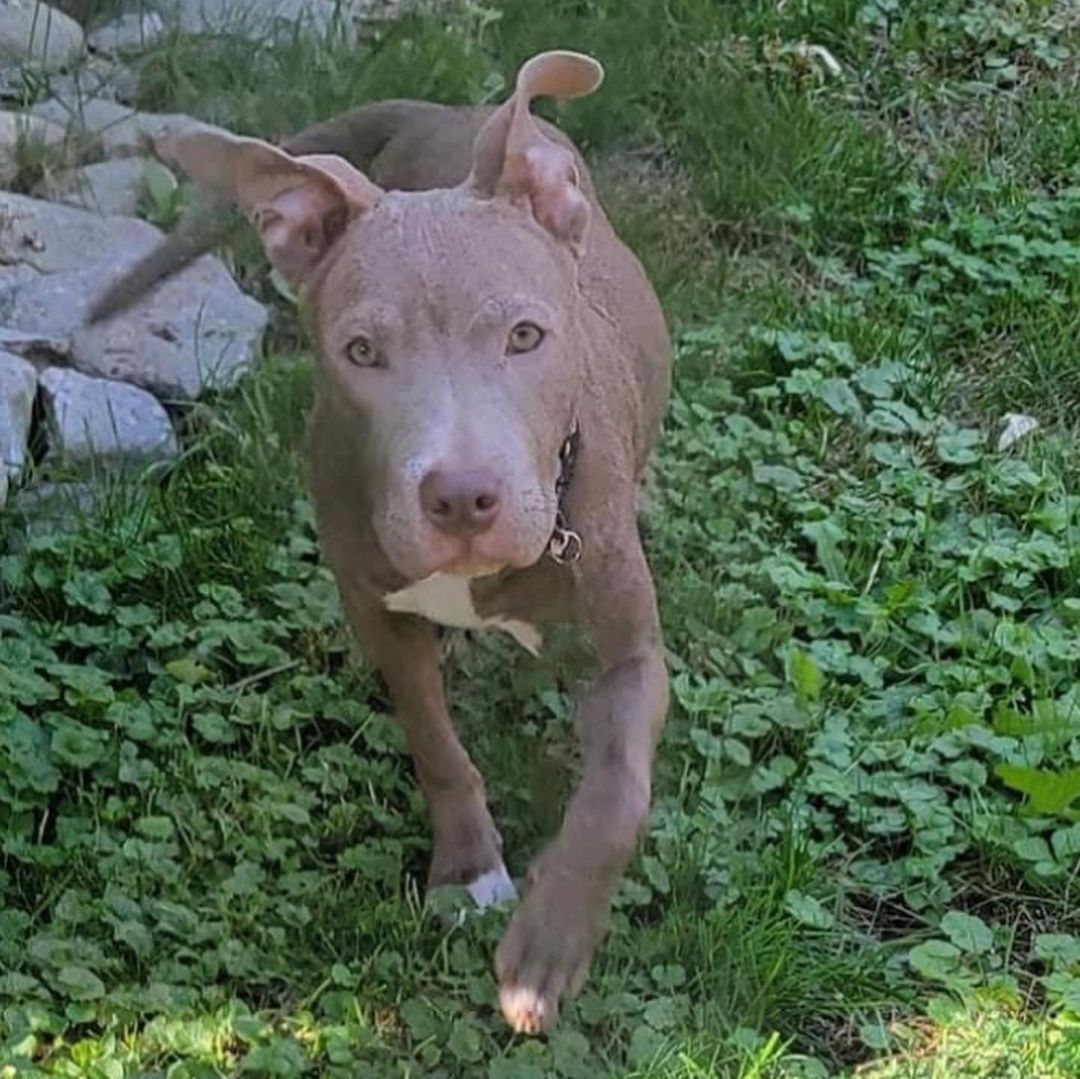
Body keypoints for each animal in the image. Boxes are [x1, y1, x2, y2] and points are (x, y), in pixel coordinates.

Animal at [132, 52, 665, 1036]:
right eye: (362, 351)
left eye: (526, 335)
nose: (460, 497)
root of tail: (445, 111)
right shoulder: (377, 611)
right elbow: (437, 745)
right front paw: (468, 870)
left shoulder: (631, 652)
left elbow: (616, 793)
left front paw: (549, 945)